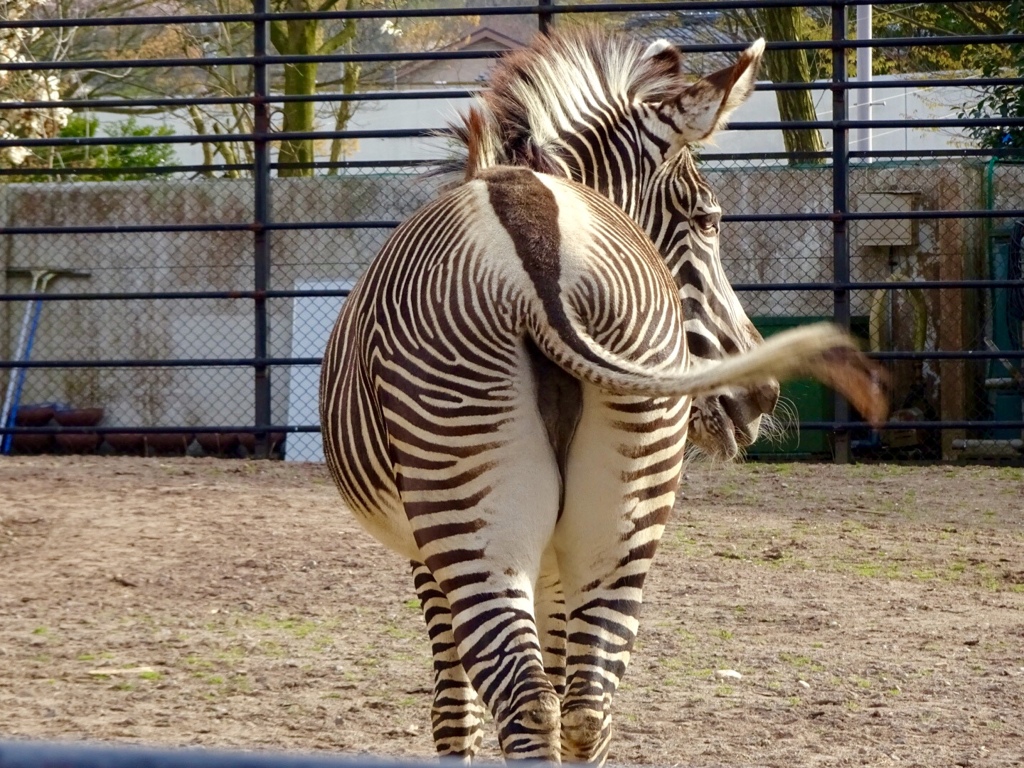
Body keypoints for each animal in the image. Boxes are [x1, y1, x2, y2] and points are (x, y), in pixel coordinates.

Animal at [315, 28, 884, 765]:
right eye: (707, 222)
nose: (762, 397)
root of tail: (536, 240)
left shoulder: (429, 552)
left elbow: (455, 710)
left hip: (468, 509)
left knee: (529, 702)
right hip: (622, 513)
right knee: (586, 706)